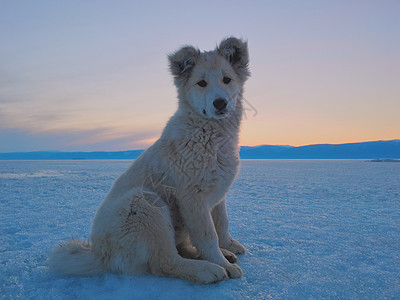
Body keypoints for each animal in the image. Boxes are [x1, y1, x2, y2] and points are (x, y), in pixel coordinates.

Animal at [49, 37, 250, 284]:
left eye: (227, 79)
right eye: (201, 83)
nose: (220, 103)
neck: (209, 134)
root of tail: (99, 255)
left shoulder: (218, 193)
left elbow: (222, 224)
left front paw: (228, 245)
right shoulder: (192, 197)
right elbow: (207, 235)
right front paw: (222, 263)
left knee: (179, 250)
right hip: (144, 204)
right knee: (166, 261)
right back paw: (207, 269)